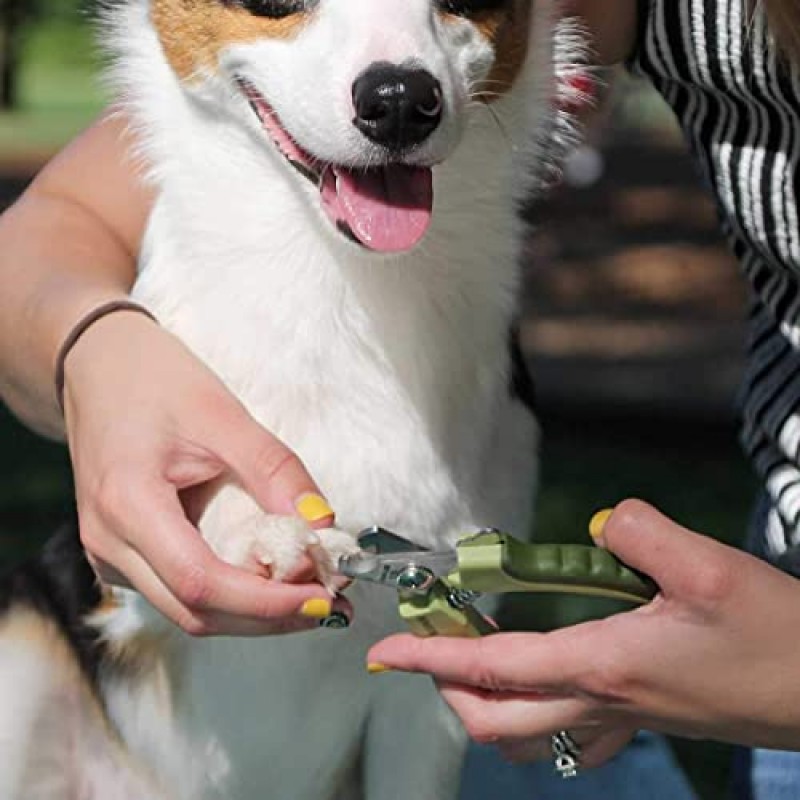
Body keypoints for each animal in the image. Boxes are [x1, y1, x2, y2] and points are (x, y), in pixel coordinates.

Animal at [0, 3, 588, 796]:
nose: (399, 100)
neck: (338, 280)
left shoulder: (426, 699)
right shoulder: (120, 588)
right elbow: (201, 504)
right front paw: (262, 531)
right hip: (21, 647)